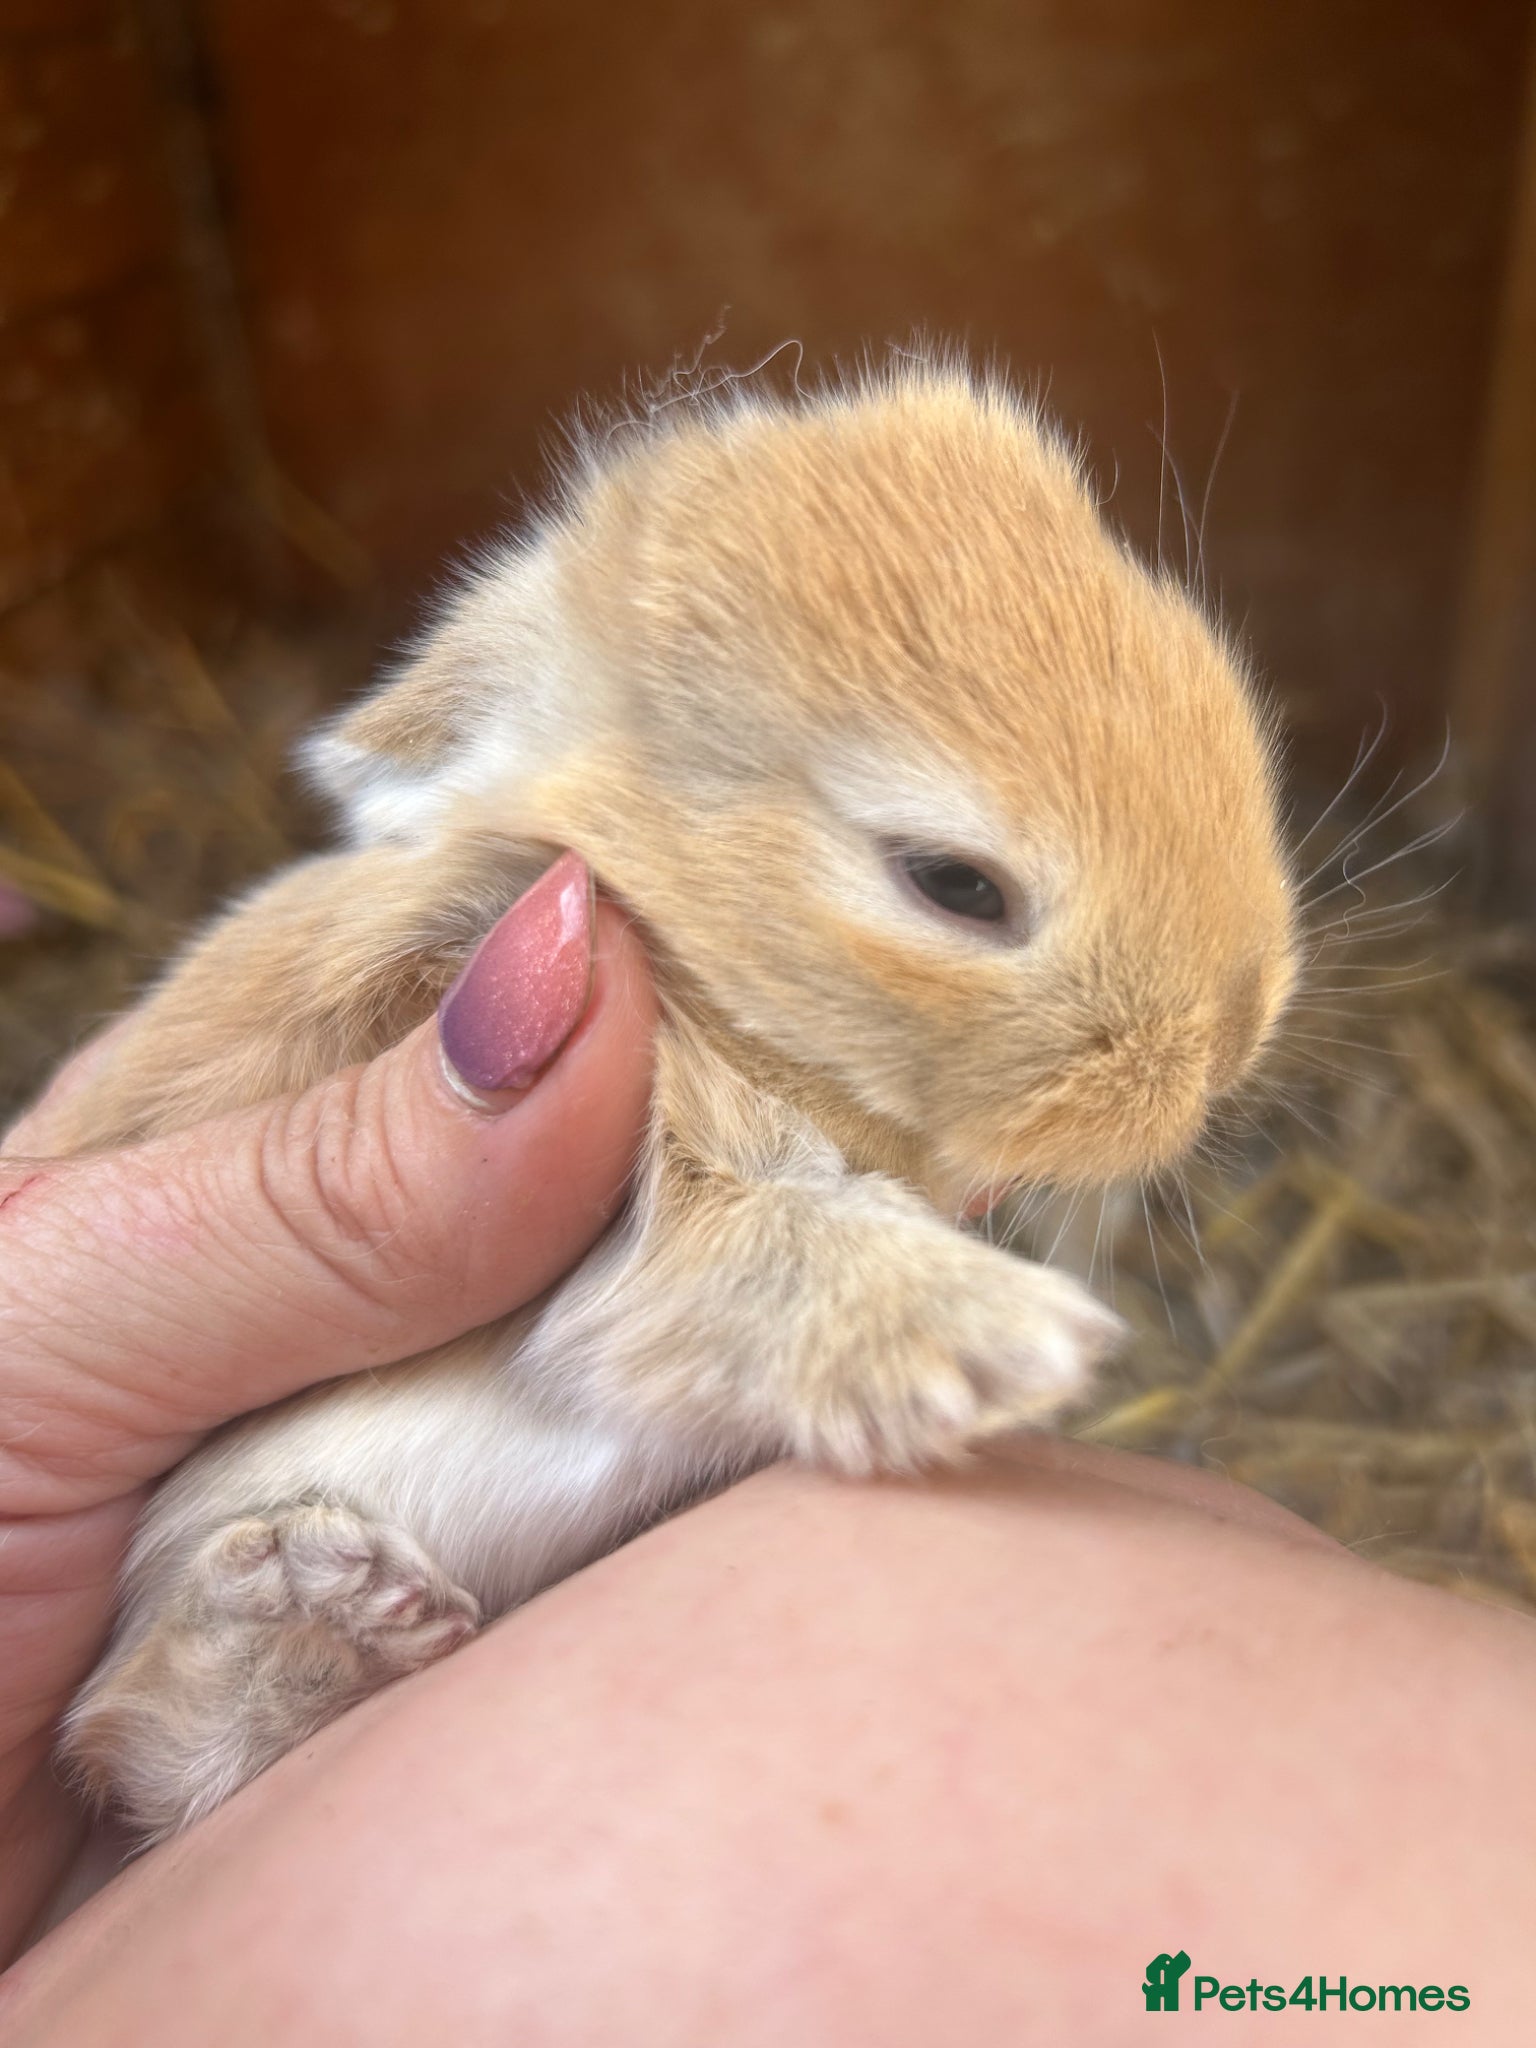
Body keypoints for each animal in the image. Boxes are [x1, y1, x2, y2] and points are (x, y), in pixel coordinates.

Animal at [32, 356, 1298, 1841]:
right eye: (954, 884)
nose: (1234, 1032)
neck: (693, 964)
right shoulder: (658, 1206)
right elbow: (774, 1256)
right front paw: (1025, 1346)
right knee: (147, 1735)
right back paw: (320, 1600)